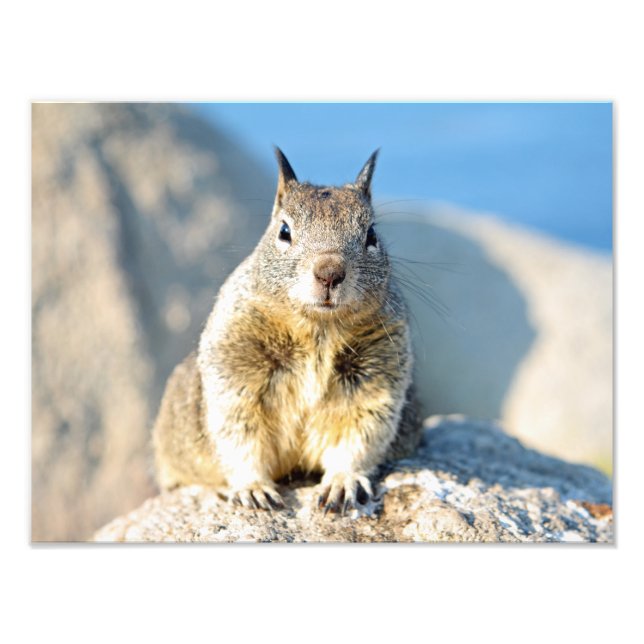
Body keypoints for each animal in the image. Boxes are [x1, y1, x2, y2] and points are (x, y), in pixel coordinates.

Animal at [152, 148, 421, 514]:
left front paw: (343, 482)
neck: (318, 330)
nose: (330, 272)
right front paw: (253, 488)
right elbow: (239, 436)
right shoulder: (235, 370)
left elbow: (359, 436)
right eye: (284, 231)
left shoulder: (376, 379)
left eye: (371, 235)